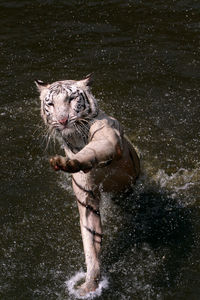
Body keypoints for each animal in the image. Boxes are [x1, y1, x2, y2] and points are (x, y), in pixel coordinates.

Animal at [34, 75, 141, 296]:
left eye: (71, 99)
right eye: (51, 104)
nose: (63, 120)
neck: (76, 137)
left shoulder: (107, 137)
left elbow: (91, 151)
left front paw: (69, 162)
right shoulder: (86, 198)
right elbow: (91, 241)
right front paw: (90, 283)